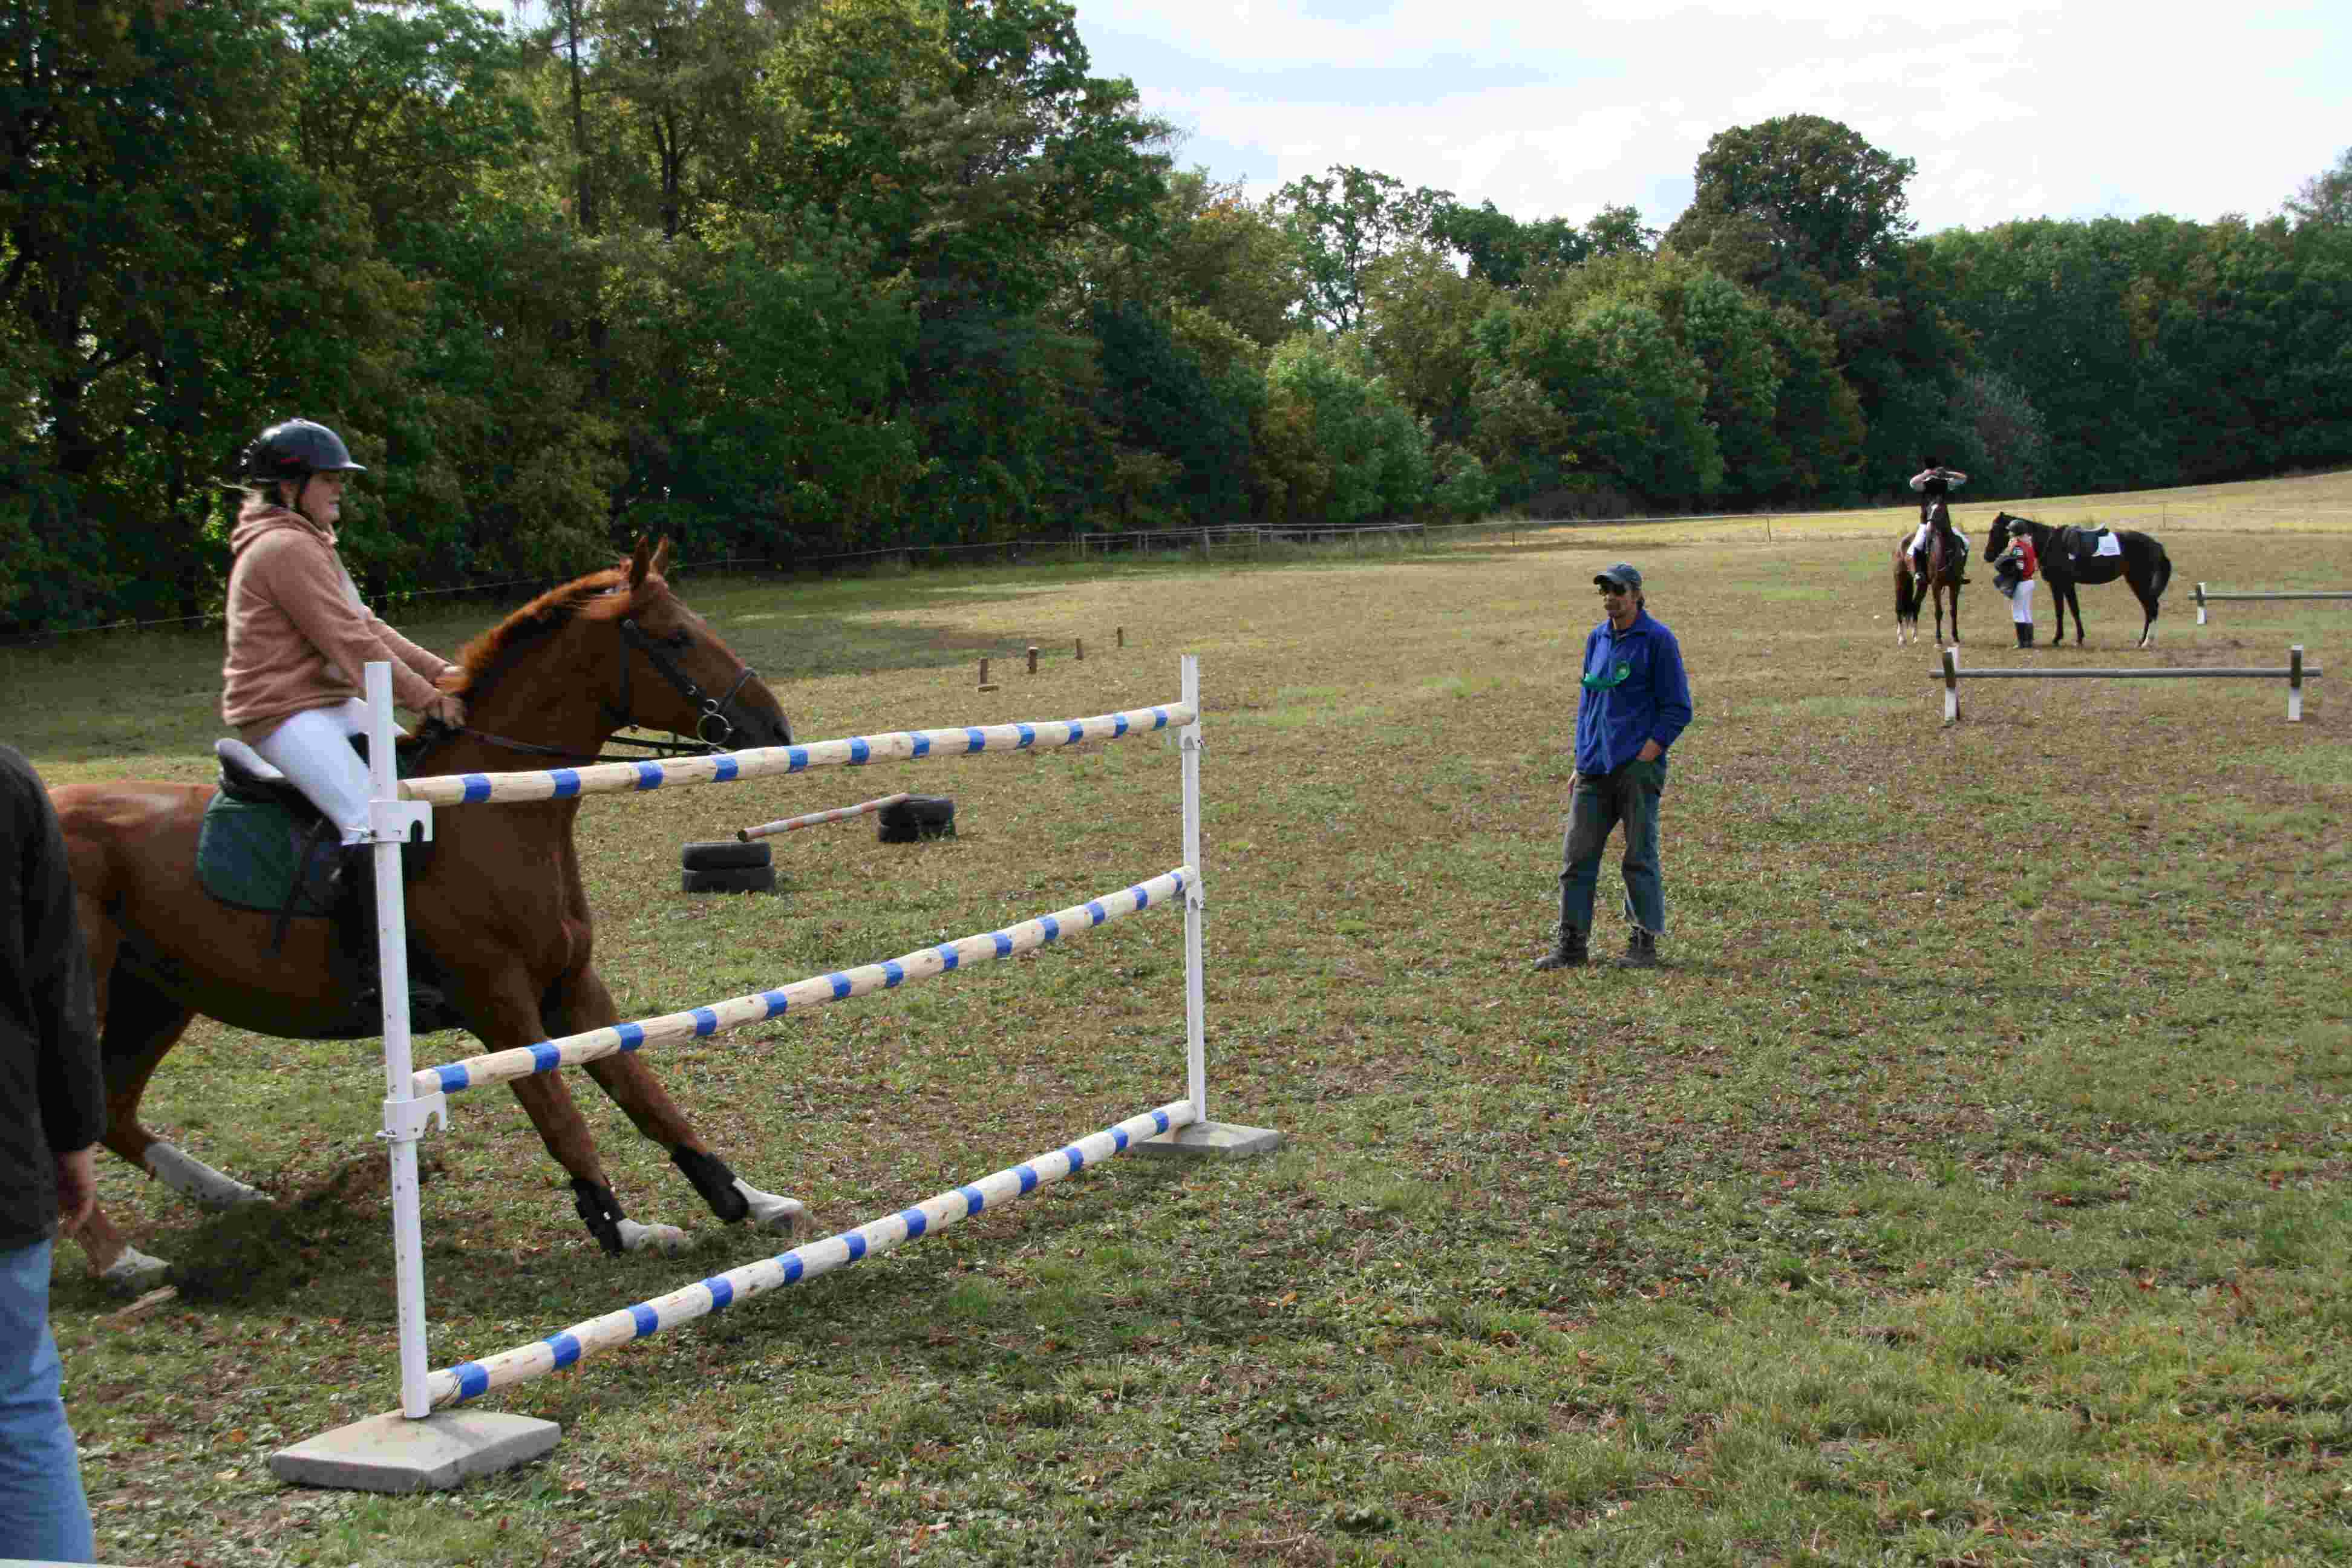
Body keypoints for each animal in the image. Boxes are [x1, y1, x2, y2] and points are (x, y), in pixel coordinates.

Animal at [50, 534, 818, 1298]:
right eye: (676, 637)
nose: (774, 726)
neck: (500, 820)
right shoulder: (499, 1006)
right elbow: (561, 1115)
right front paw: (622, 1229)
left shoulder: (573, 990)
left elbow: (647, 1096)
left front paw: (743, 1198)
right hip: (97, 997)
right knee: (74, 1127)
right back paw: (122, 1260)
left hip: (158, 996)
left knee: (115, 1113)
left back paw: (230, 1198)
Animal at [1985, 515, 2163, 648]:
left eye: (1994, 531)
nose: (1987, 556)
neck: (2050, 544)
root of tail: (2155, 544)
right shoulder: (2056, 585)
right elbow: (2061, 611)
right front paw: (2060, 638)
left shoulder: (2066, 584)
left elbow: (2073, 610)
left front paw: (2076, 639)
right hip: (2135, 581)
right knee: (2148, 609)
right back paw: (2142, 641)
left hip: (2139, 581)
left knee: (2151, 608)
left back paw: (2147, 642)